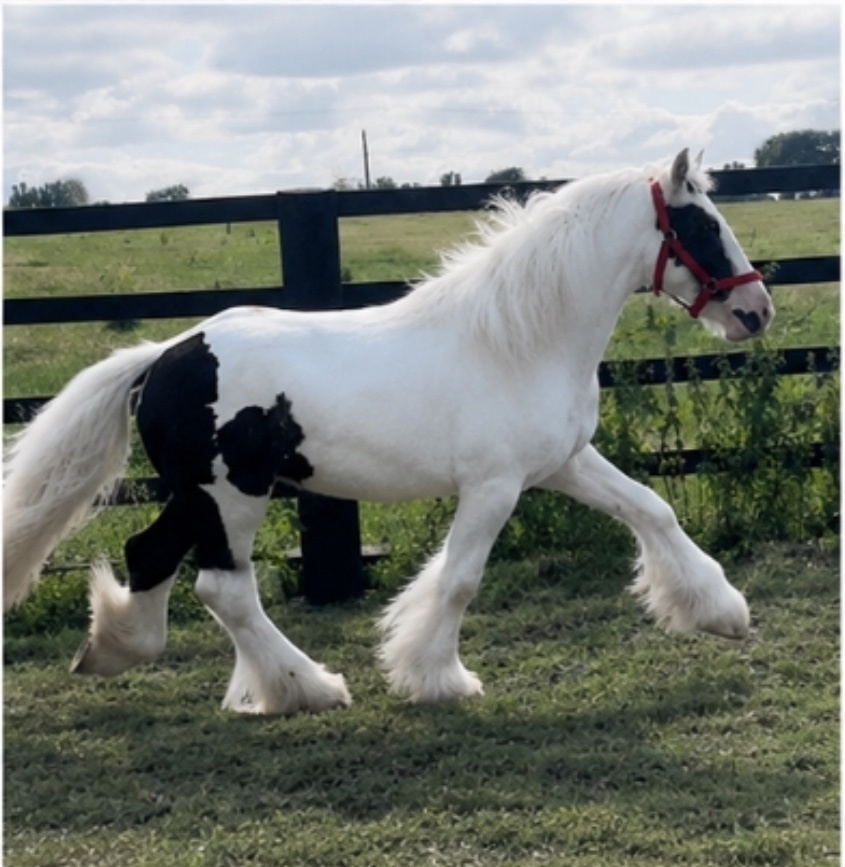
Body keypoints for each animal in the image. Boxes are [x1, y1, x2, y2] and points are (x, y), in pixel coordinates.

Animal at [3, 149, 773, 715]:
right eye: (704, 226)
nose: (756, 311)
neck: (520, 343)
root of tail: (164, 355)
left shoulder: (564, 462)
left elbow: (653, 508)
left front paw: (721, 613)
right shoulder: (493, 486)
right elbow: (459, 579)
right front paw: (435, 677)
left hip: (198, 496)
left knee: (150, 553)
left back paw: (117, 649)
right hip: (232, 497)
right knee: (222, 588)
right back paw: (306, 688)